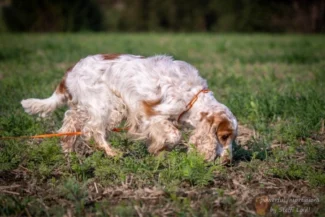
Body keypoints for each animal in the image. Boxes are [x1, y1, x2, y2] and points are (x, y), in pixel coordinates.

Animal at [22, 54, 235, 163]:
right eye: (224, 136)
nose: (227, 161)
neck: (192, 96)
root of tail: (70, 71)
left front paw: (159, 150)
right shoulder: (151, 113)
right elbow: (174, 135)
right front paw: (159, 149)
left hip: (89, 106)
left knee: (70, 123)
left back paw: (69, 152)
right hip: (107, 106)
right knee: (93, 130)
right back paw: (112, 153)